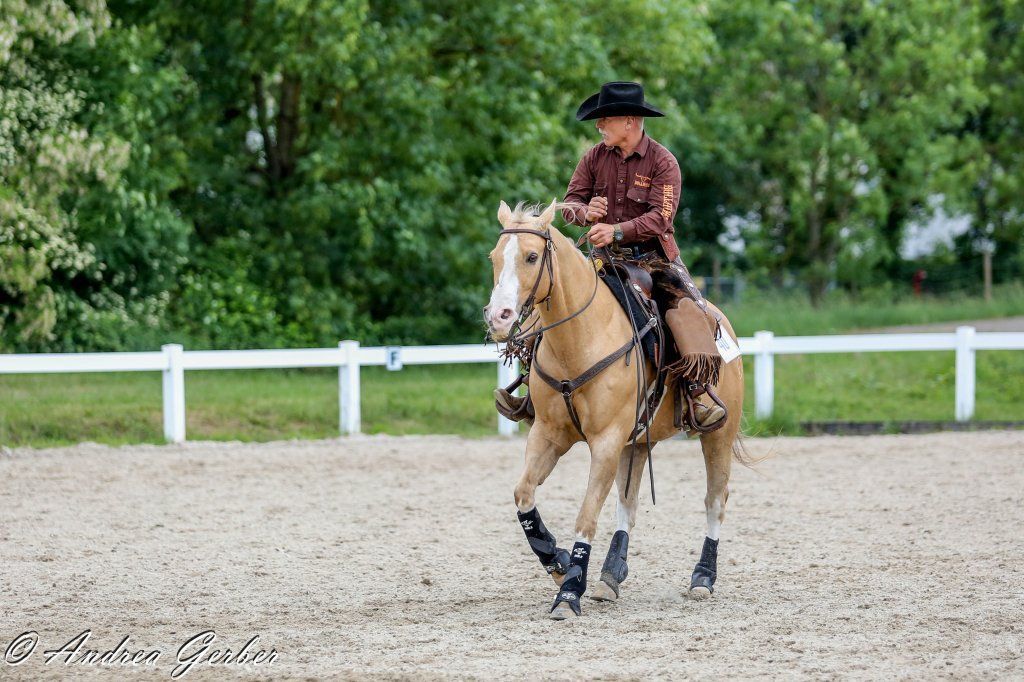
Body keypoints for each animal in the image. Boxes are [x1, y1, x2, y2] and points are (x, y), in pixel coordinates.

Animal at [483, 199, 747, 620]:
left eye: (531, 256)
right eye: (495, 257)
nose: (498, 317)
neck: (580, 339)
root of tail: (720, 320)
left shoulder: (605, 441)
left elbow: (587, 514)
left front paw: (569, 593)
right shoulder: (548, 434)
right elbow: (524, 495)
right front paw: (559, 563)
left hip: (718, 434)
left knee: (715, 500)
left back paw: (703, 577)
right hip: (636, 443)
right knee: (628, 503)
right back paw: (610, 574)